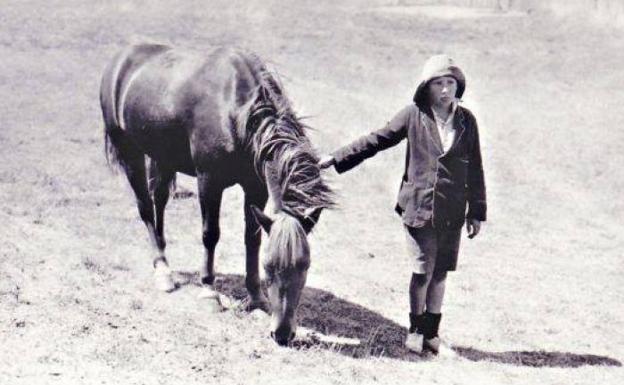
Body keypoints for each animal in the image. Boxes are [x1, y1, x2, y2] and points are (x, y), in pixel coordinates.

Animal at [101, 43, 336, 344]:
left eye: (305, 266)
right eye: (269, 267)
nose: (283, 334)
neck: (238, 112)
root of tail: (121, 57)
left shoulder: (255, 186)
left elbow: (252, 238)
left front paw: (256, 299)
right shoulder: (208, 181)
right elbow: (210, 234)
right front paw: (208, 292)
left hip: (162, 157)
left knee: (159, 201)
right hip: (130, 152)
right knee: (144, 207)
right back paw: (162, 270)